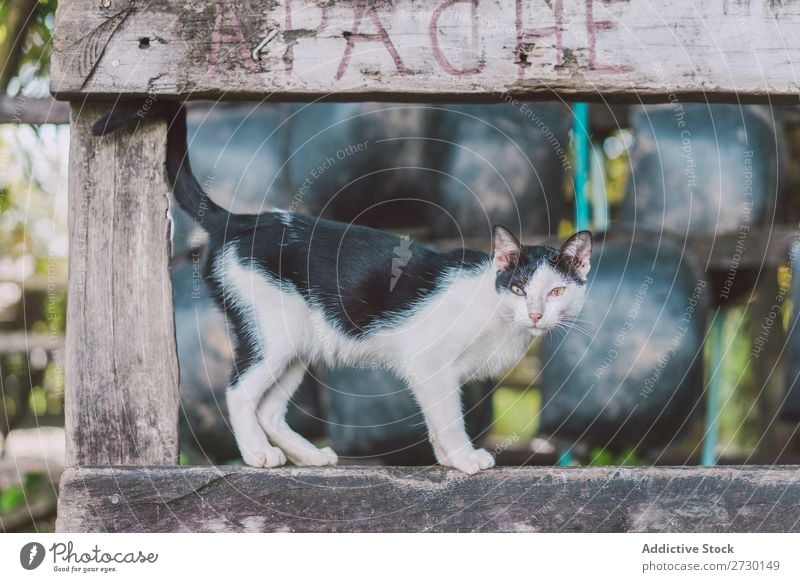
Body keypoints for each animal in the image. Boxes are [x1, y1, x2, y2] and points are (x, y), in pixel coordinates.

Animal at [94, 102, 592, 474]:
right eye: (520, 288)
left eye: (556, 292)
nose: (535, 315)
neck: (494, 308)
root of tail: (238, 220)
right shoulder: (429, 364)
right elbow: (448, 417)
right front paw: (465, 458)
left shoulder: (434, 374)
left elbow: (437, 420)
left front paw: (449, 459)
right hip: (271, 334)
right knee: (239, 393)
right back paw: (257, 455)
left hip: (297, 343)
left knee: (269, 407)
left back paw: (310, 456)